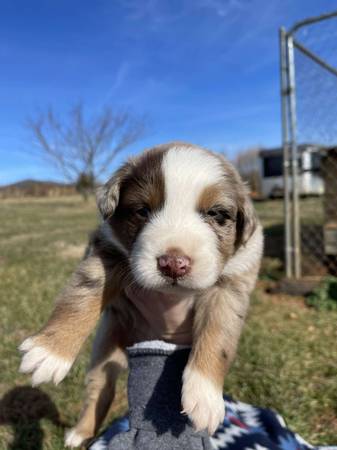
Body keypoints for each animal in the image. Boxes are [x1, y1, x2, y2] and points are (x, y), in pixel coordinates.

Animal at [18, 143, 262, 446]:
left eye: (217, 214)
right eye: (142, 210)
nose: (174, 263)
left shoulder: (231, 286)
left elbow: (219, 336)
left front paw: (205, 396)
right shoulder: (105, 251)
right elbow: (84, 294)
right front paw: (50, 351)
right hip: (104, 350)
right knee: (100, 389)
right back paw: (80, 433)